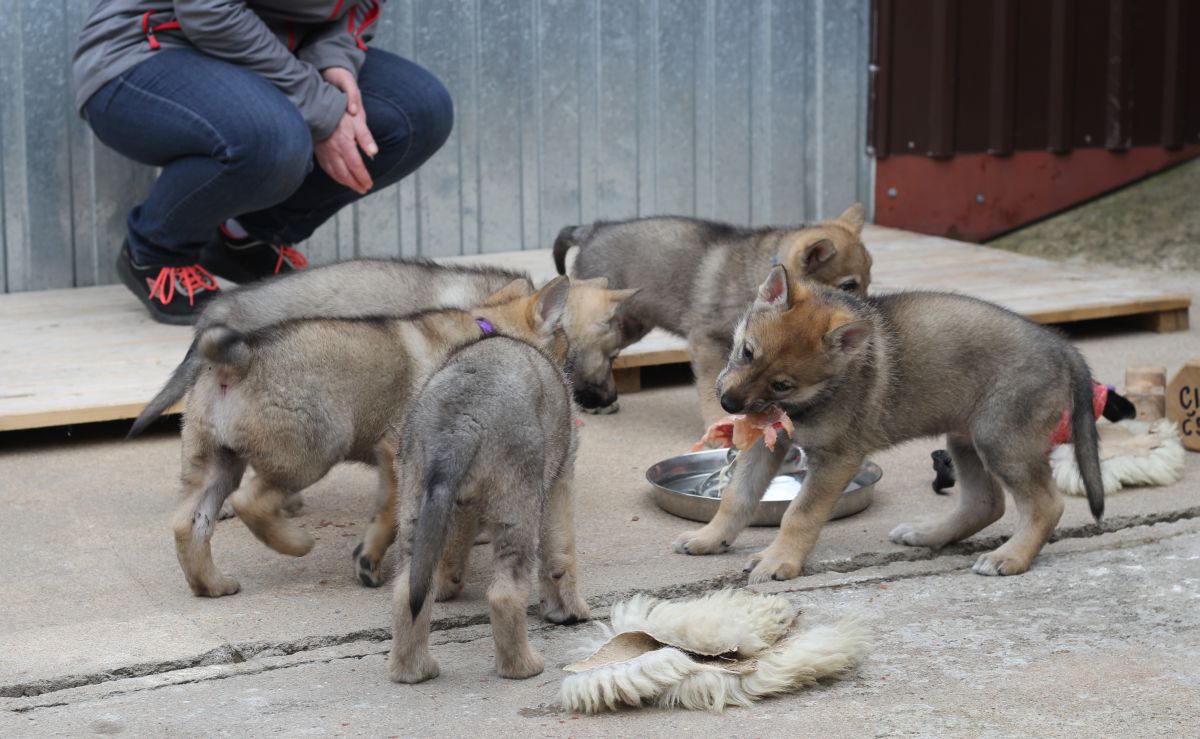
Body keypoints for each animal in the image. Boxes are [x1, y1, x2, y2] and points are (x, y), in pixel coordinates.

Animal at [388, 333, 585, 681]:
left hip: (413, 499)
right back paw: (522, 667)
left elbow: (452, 550)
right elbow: (561, 552)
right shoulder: (560, 480)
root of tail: (460, 424)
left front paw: (448, 582)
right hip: (517, 510)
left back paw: (414, 670)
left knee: (407, 593)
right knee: (505, 595)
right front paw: (569, 609)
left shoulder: (460, 506)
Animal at [552, 205, 873, 422]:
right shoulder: (707, 342)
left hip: (632, 323)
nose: (868, 318)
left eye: (868, 279)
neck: (759, 274)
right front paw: (719, 424)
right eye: (848, 286)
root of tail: (592, 229)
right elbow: (711, 388)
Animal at [672, 265, 1099, 583]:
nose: (728, 404)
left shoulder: (837, 460)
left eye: (782, 384)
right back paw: (928, 535)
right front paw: (710, 538)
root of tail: (1062, 346)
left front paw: (779, 560)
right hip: (966, 438)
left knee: (1045, 505)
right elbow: (737, 498)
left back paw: (1011, 556)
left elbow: (799, 514)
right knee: (986, 503)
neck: (815, 397)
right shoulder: (767, 444)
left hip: (1001, 440)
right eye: (746, 352)